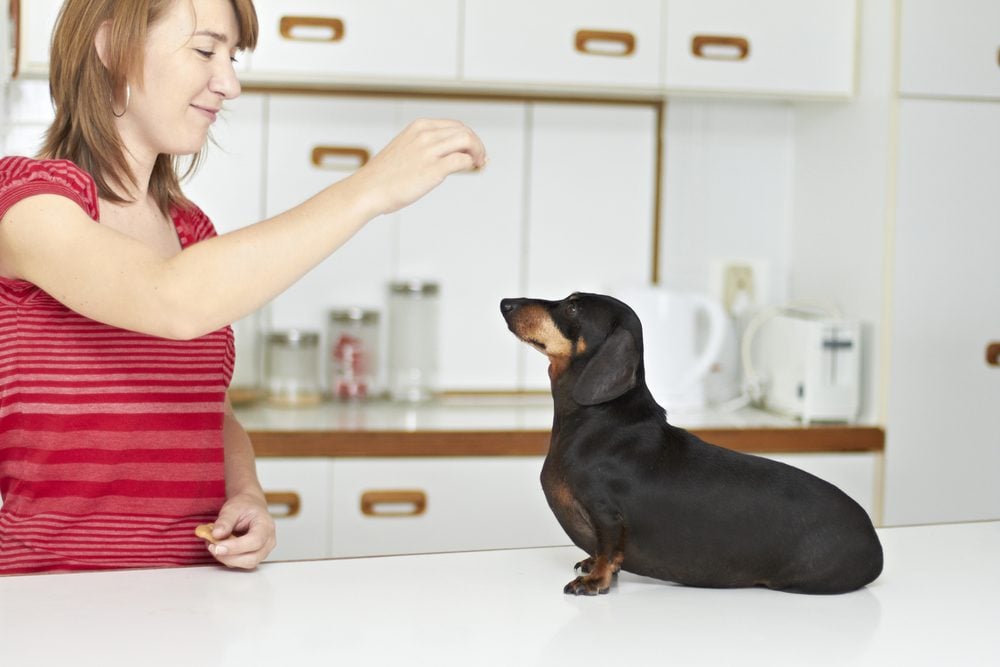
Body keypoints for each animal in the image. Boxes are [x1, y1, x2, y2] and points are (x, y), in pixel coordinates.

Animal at [500, 292, 884, 596]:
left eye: (573, 307)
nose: (506, 303)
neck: (601, 418)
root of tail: (874, 544)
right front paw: (590, 563)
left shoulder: (605, 510)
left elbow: (608, 549)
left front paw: (596, 579)